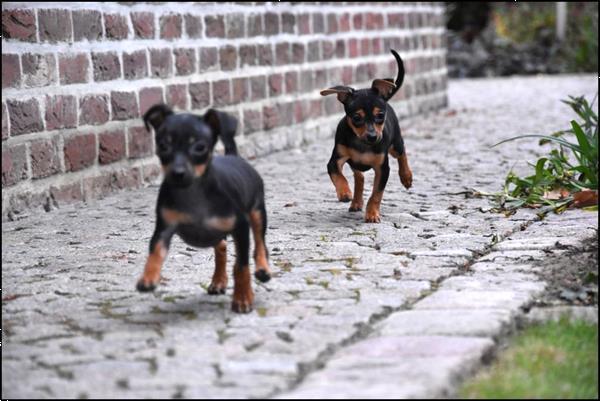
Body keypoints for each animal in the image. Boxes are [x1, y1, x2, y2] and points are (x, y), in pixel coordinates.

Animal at [137, 104, 270, 312]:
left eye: (199, 147)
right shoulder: (164, 226)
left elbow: (241, 266)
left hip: (257, 213)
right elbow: (156, 250)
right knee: (222, 247)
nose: (177, 173)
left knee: (260, 244)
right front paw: (149, 277)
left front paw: (243, 298)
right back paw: (218, 281)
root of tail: (234, 157)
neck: (194, 193)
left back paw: (263, 269)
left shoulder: (241, 228)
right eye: (163, 146)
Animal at [324, 49, 412, 222]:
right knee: (360, 177)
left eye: (380, 115)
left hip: (395, 145)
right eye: (356, 118)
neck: (362, 144)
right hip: (354, 163)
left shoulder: (382, 169)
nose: (372, 137)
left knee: (402, 153)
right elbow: (338, 175)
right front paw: (344, 192)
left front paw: (372, 214)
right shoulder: (335, 160)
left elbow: (376, 194)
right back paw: (356, 202)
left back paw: (406, 176)